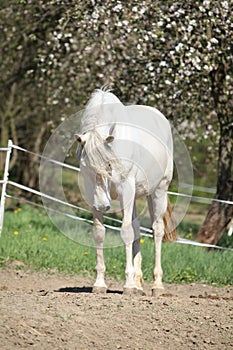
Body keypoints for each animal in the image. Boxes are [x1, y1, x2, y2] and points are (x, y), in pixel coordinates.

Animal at [76, 89, 177, 294]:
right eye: (86, 166)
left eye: (108, 164)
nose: (103, 205)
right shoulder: (93, 195)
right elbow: (99, 233)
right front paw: (100, 283)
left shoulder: (126, 191)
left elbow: (126, 232)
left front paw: (128, 285)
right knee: (138, 229)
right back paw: (139, 284)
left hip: (159, 191)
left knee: (157, 230)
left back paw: (157, 285)